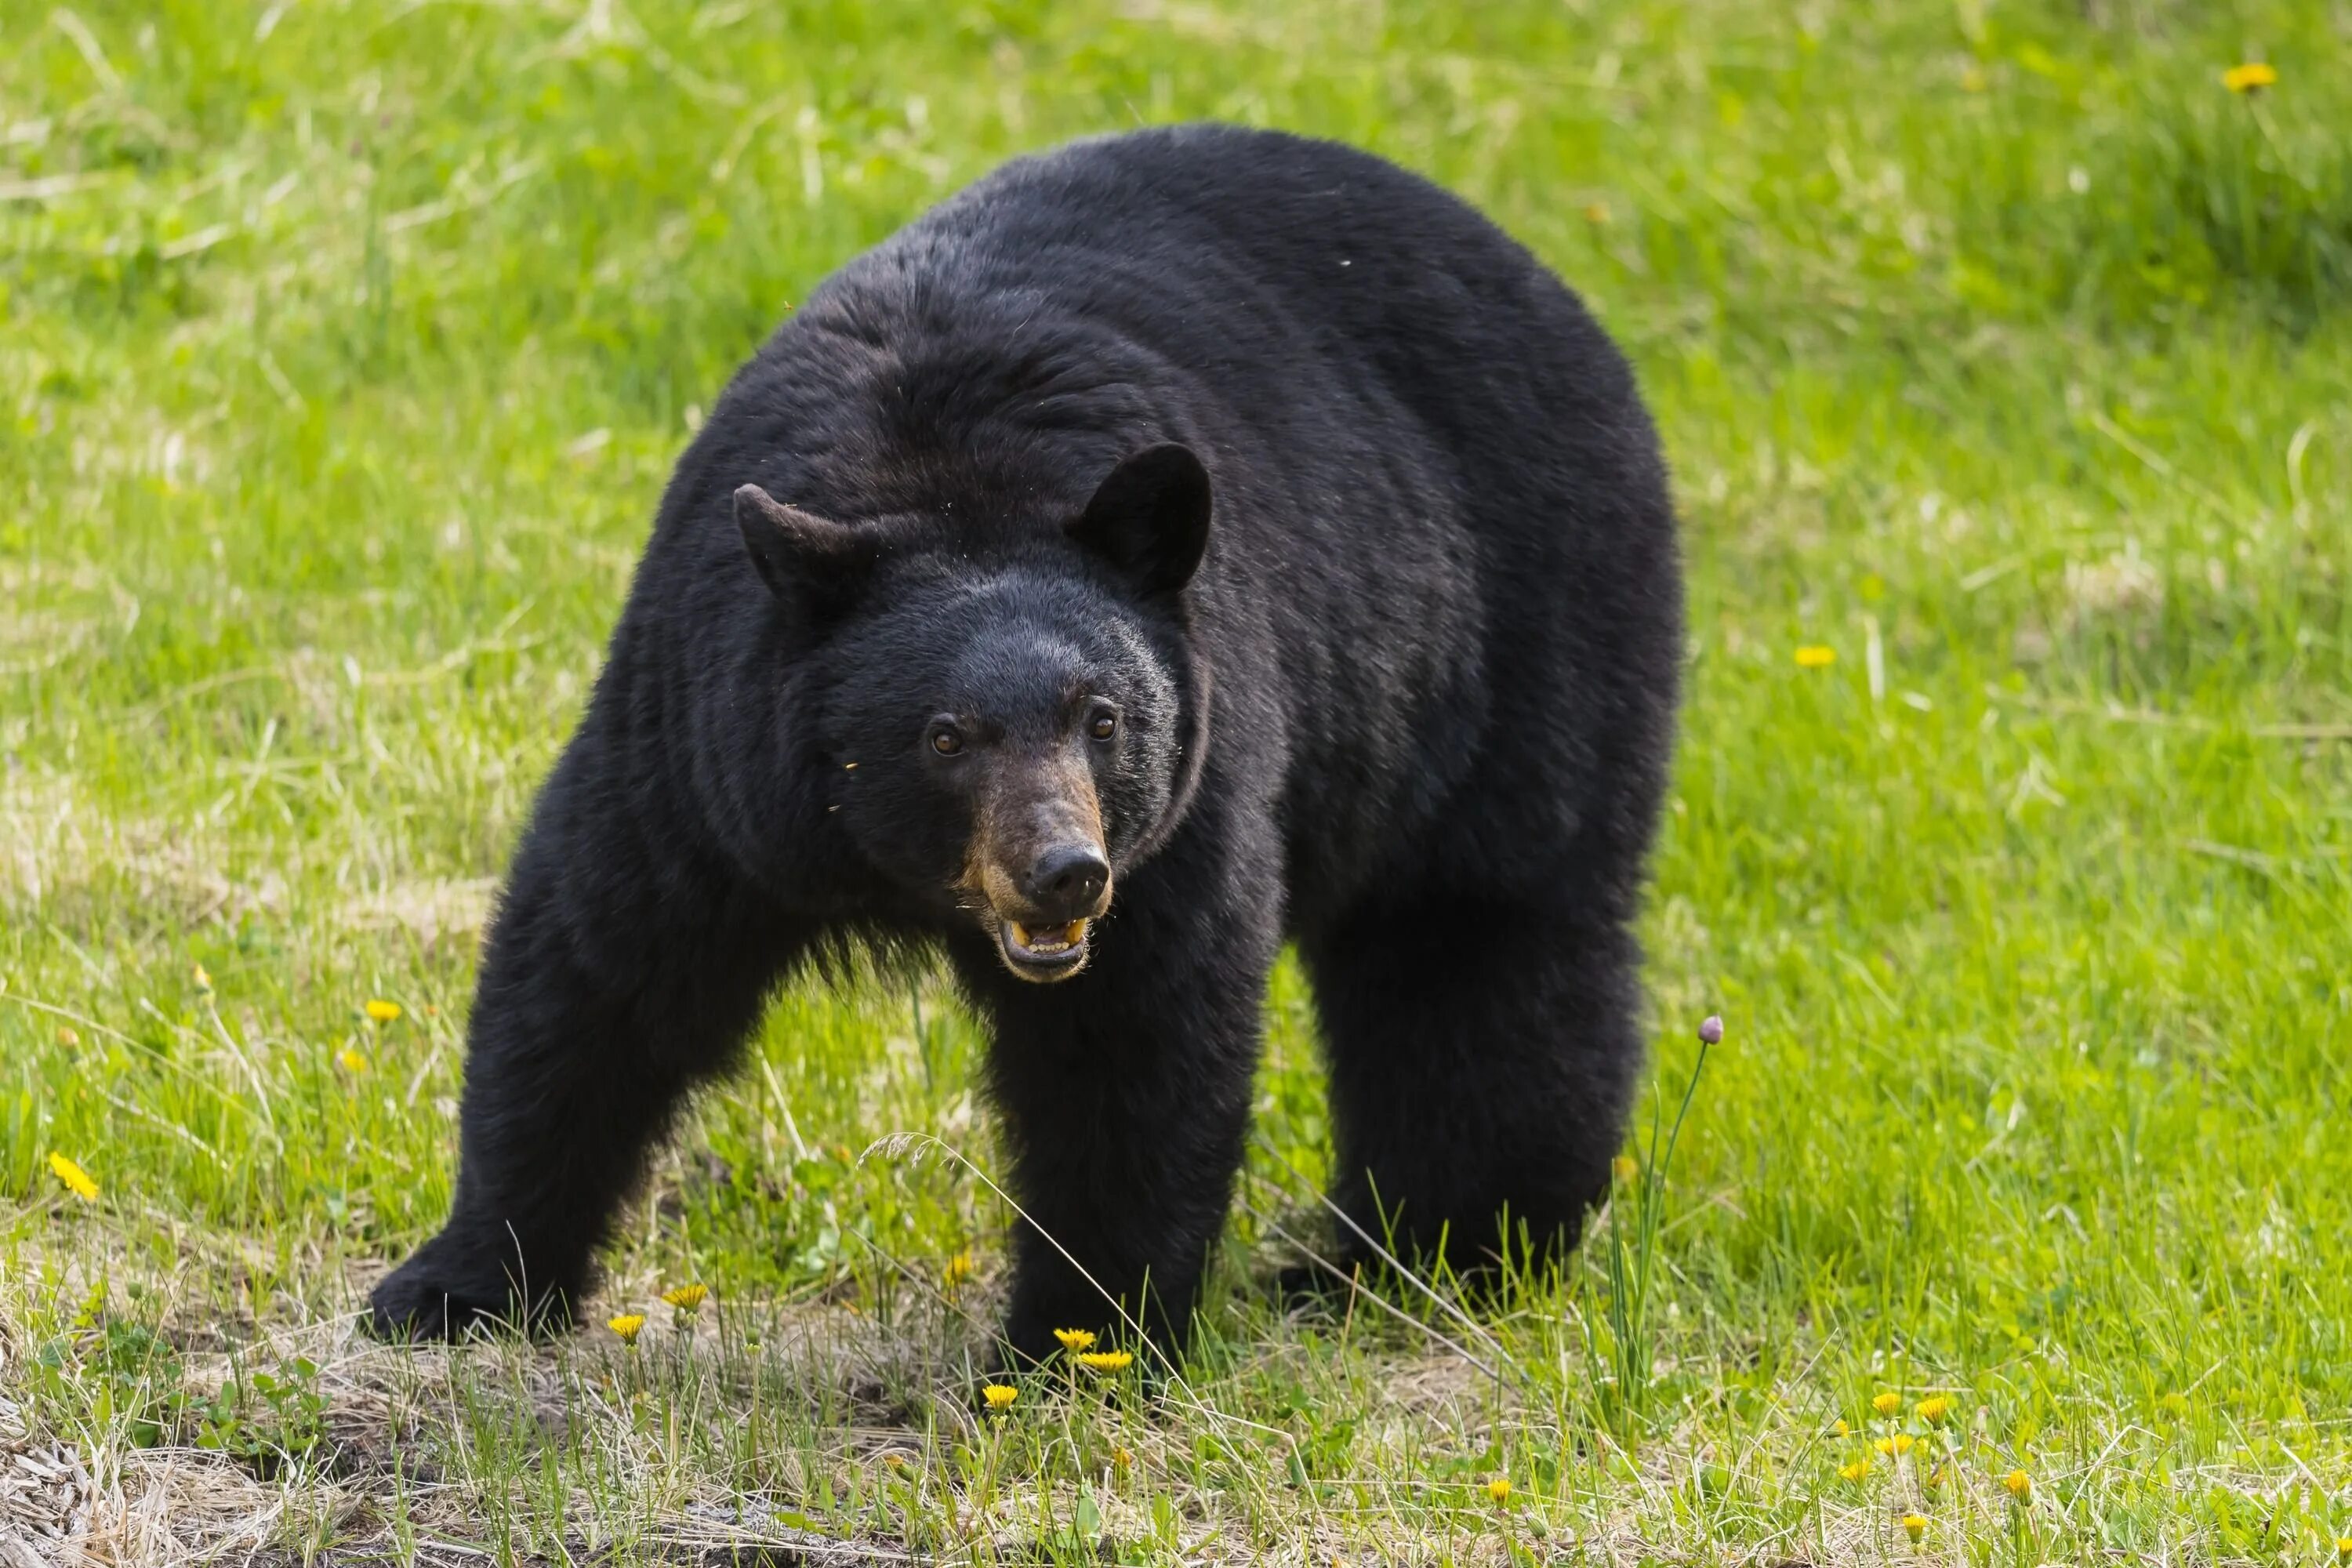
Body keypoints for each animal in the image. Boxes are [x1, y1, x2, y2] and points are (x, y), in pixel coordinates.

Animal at [367, 129, 1684, 1363]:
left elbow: (1135, 1048)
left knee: (1481, 947)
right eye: (945, 736)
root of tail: (1545, 282)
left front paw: (1078, 1342)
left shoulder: (1192, 795)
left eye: (1103, 720)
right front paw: (452, 1286)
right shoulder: (702, 741)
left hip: (1519, 642)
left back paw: (1436, 1254)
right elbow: (601, 972)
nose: (1065, 873)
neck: (943, 479)